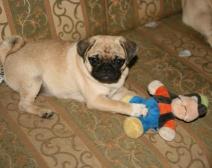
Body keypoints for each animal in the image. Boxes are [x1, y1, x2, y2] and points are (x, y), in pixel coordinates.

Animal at [0, 35, 147, 118]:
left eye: (118, 61)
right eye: (94, 60)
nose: (106, 68)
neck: (109, 84)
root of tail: (9, 56)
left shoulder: (118, 90)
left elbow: (132, 94)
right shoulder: (96, 99)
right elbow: (118, 104)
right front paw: (136, 109)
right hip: (33, 80)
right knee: (23, 105)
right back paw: (43, 112)